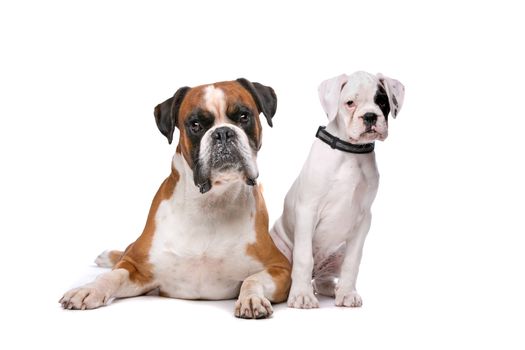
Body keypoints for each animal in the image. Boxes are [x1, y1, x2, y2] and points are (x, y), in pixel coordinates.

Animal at [270, 72, 406, 308]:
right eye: (350, 103)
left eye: (382, 102)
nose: (370, 116)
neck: (351, 152)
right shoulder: (307, 210)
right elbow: (303, 257)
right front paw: (302, 295)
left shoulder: (363, 219)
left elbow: (353, 261)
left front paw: (348, 293)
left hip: (337, 251)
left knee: (323, 279)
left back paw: (334, 289)